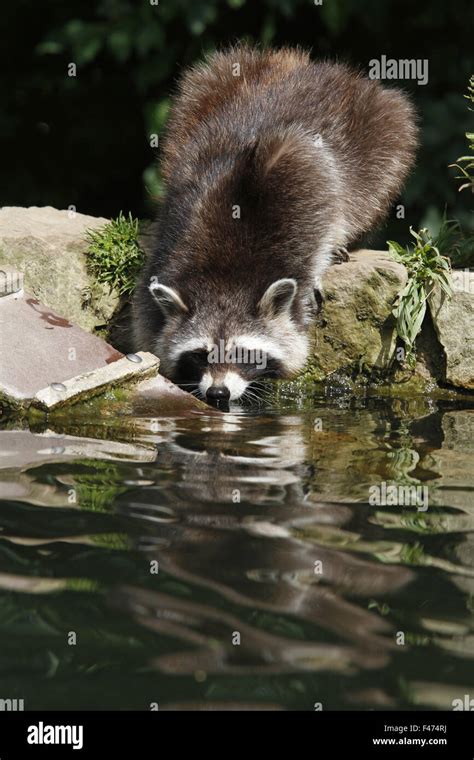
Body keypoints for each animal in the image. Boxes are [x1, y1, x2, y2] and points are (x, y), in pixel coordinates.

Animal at [131, 43, 416, 404]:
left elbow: (319, 180)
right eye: (200, 354)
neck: (224, 278)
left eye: (243, 353)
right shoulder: (166, 250)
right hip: (205, 85)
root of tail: (301, 62)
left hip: (381, 126)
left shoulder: (301, 167)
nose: (219, 393)